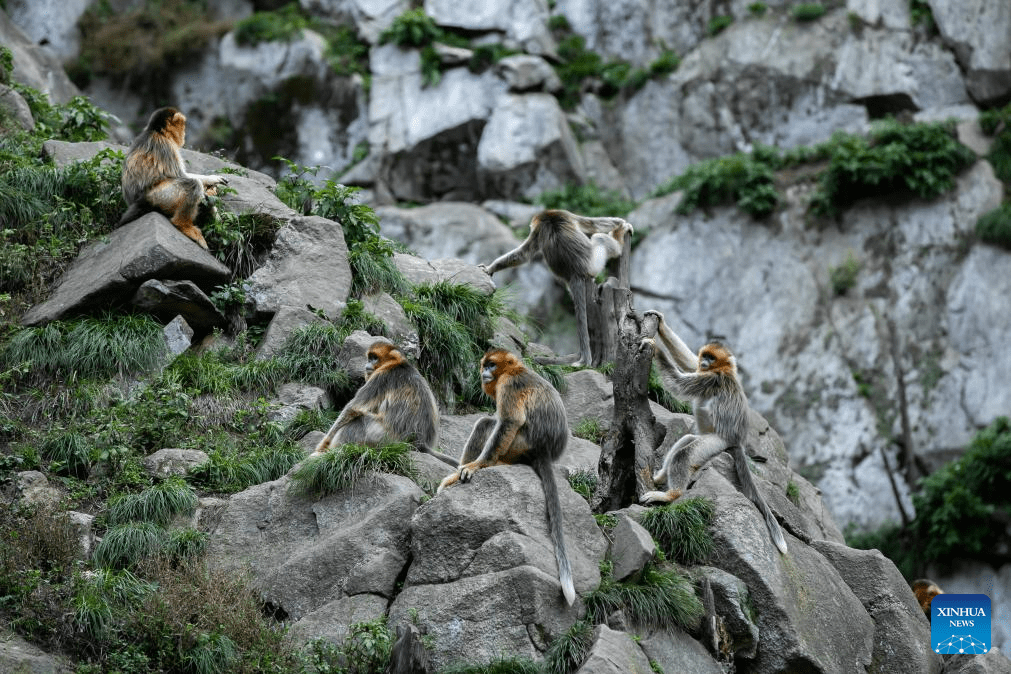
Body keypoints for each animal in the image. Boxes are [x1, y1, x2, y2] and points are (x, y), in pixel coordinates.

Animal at [118, 108, 227, 250]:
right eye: (183, 127)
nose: (184, 134)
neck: (157, 132)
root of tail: (135, 202)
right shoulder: (165, 147)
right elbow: (181, 175)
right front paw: (209, 184)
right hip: (158, 196)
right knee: (192, 184)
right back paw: (184, 225)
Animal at [311, 339, 458, 466]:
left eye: (374, 358)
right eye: (369, 357)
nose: (367, 364)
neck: (397, 364)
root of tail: (420, 443)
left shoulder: (381, 377)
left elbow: (352, 409)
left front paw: (321, 448)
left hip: (385, 439)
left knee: (359, 421)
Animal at [436, 351, 574, 602]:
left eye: (492, 365)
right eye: (485, 365)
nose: (484, 372)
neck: (513, 370)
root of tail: (545, 451)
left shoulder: (509, 385)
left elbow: (511, 421)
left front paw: (477, 465)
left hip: (519, 445)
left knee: (491, 423)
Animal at [481, 211, 630, 369]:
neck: (549, 218)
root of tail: (575, 272)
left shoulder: (544, 225)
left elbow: (523, 254)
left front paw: (490, 268)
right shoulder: (564, 215)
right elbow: (592, 224)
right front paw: (622, 224)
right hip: (594, 264)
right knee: (599, 237)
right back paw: (619, 240)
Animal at [638, 311, 788, 553]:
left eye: (711, 357)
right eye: (705, 355)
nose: (705, 362)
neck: (723, 370)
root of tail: (736, 439)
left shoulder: (712, 378)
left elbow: (679, 383)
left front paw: (653, 346)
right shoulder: (706, 372)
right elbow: (689, 362)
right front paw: (660, 322)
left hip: (717, 442)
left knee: (685, 454)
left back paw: (670, 495)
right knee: (687, 440)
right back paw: (661, 476)